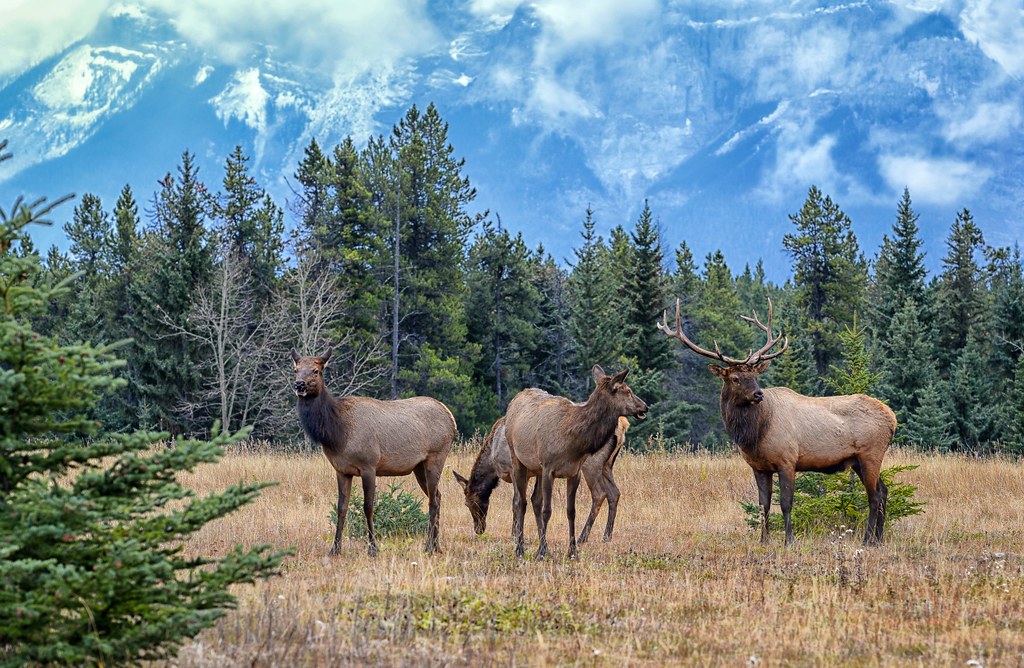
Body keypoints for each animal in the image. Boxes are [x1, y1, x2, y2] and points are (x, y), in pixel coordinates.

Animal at [291, 348, 457, 557]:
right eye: (296, 369)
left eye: (316, 370)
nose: (299, 385)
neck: (337, 433)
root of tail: (451, 418)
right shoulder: (342, 470)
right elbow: (341, 508)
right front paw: (335, 549)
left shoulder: (369, 465)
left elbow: (368, 507)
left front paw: (373, 548)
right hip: (419, 466)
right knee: (438, 496)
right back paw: (436, 545)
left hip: (436, 456)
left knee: (433, 500)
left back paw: (429, 546)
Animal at [452, 414, 630, 544]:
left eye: (469, 503)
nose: (479, 529)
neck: (492, 459)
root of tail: (622, 426)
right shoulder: (538, 471)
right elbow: (535, 500)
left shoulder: (514, 468)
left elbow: (516, 501)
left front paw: (515, 535)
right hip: (606, 465)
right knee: (614, 492)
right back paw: (606, 536)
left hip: (591, 463)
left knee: (599, 494)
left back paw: (582, 537)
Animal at [504, 366, 648, 559]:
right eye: (627, 391)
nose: (645, 407)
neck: (572, 440)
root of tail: (515, 399)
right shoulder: (548, 468)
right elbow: (547, 510)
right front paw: (540, 552)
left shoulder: (574, 472)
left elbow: (571, 511)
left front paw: (572, 551)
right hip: (517, 458)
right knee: (521, 502)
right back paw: (520, 549)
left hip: (544, 468)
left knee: (535, 500)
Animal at [657, 300, 897, 546]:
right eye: (735, 378)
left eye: (755, 376)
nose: (758, 394)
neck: (755, 434)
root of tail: (892, 418)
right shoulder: (759, 467)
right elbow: (763, 505)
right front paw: (763, 540)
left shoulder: (787, 460)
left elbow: (785, 503)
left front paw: (788, 540)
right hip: (858, 461)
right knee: (884, 491)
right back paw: (878, 539)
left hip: (870, 454)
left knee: (875, 496)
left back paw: (868, 540)